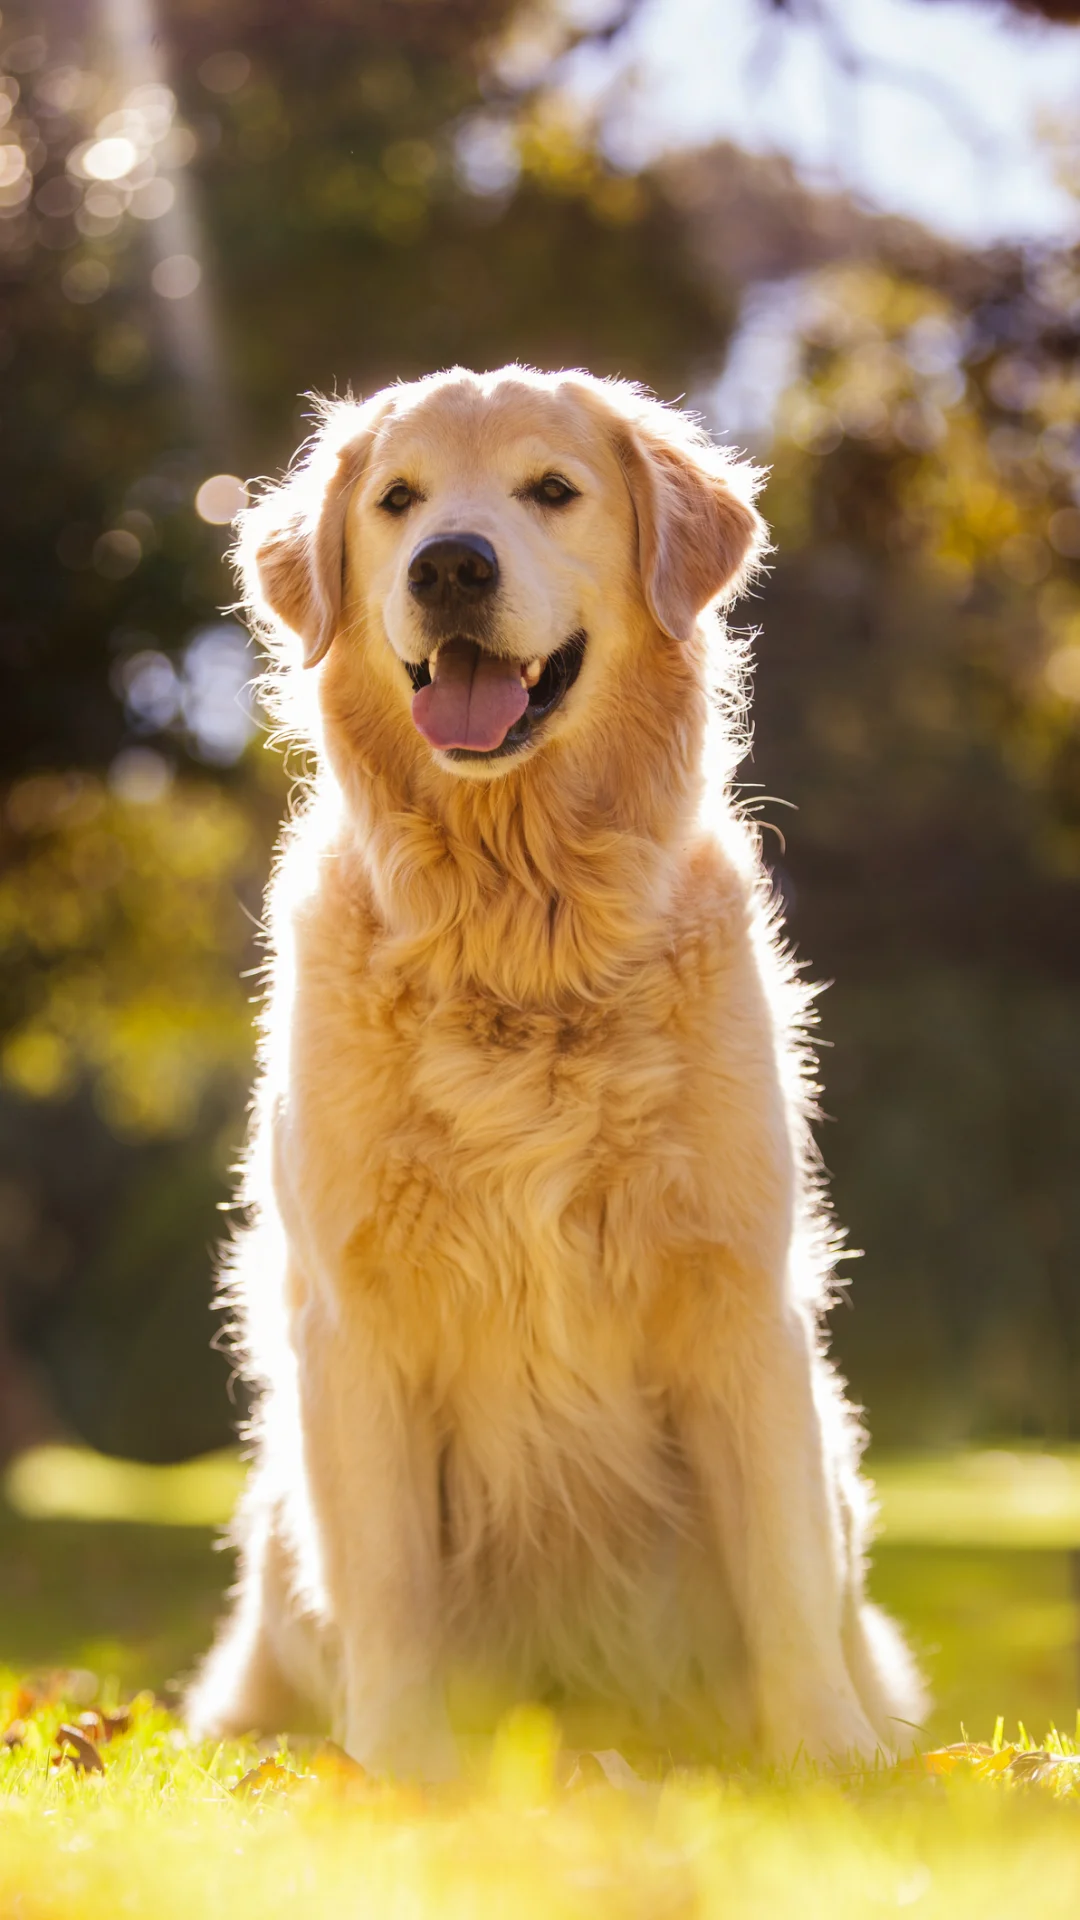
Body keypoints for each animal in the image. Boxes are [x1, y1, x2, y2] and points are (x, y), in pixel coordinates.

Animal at [182, 366, 914, 1774]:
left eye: (552, 490)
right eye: (397, 499)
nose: (449, 565)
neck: (519, 930)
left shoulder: (739, 1292)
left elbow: (787, 1566)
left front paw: (829, 1761)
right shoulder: (353, 1313)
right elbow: (388, 1583)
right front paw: (406, 1776)